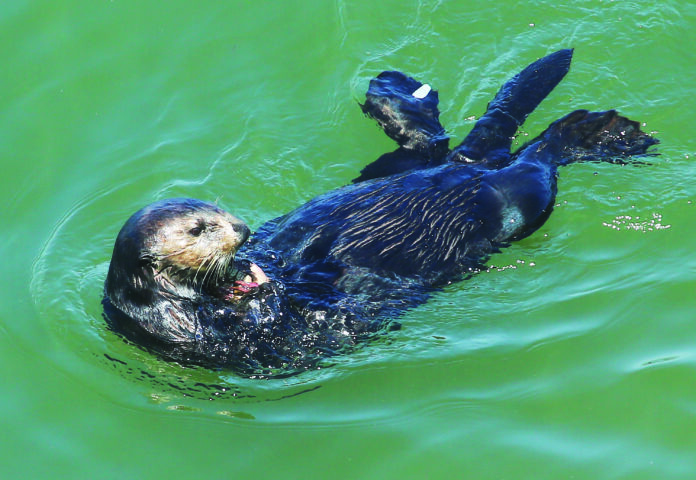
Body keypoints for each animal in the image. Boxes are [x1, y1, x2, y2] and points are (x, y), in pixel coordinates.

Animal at [103, 49, 658, 375]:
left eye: (219, 209)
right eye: (200, 228)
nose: (242, 230)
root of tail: (473, 167)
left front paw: (275, 257)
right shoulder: (212, 335)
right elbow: (278, 314)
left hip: (401, 168)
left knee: (431, 144)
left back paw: (397, 90)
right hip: (515, 198)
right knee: (539, 155)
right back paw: (600, 132)